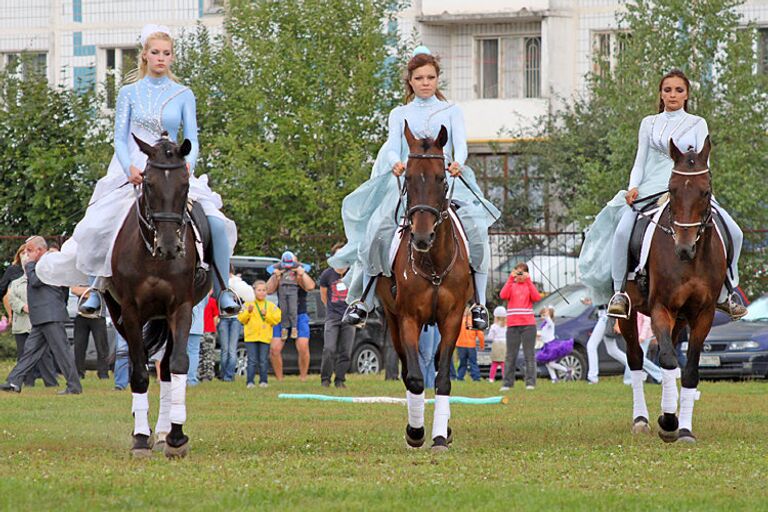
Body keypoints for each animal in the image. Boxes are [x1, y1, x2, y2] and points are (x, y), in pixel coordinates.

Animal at [103, 134, 210, 458]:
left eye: (185, 184)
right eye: (148, 183)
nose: (169, 247)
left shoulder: (181, 307)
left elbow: (178, 365)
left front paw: (176, 436)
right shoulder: (131, 311)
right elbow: (138, 372)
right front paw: (140, 438)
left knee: (164, 370)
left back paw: (162, 433)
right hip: (119, 315)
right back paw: (144, 430)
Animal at [376, 122, 474, 450]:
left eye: (441, 178)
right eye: (407, 177)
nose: (421, 237)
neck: (433, 264)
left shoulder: (452, 318)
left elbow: (442, 378)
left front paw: (441, 436)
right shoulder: (408, 318)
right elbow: (416, 378)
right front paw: (416, 433)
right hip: (393, 320)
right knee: (408, 371)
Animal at [620, 136, 724, 444]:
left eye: (705, 191)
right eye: (673, 190)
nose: (684, 248)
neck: (692, 261)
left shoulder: (703, 314)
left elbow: (689, 370)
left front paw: (685, 429)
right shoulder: (660, 308)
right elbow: (667, 360)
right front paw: (668, 421)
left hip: (680, 319)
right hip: (629, 314)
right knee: (636, 359)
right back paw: (641, 420)